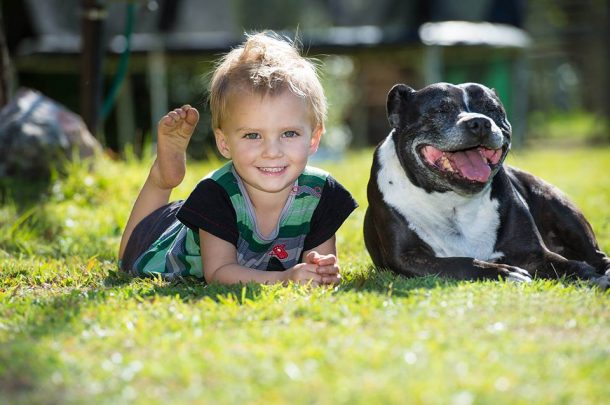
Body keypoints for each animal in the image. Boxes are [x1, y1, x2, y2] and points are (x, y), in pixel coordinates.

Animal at [364, 82, 604, 286]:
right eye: (441, 110)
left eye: (491, 109)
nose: (480, 122)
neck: (453, 201)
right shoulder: (407, 257)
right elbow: (460, 262)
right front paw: (506, 272)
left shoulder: (535, 253)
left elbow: (567, 264)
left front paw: (588, 274)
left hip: (561, 209)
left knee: (597, 256)